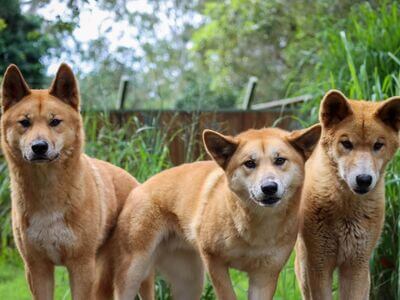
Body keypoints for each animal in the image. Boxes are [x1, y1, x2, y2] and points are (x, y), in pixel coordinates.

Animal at [0, 63, 153, 300]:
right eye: (25, 122)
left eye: (55, 121)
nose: (39, 147)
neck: (48, 192)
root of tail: (135, 182)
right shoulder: (37, 268)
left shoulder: (81, 266)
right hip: (103, 272)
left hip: (133, 271)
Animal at [114, 123, 320, 298]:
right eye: (249, 163)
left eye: (280, 160)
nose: (269, 187)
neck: (255, 229)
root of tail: (139, 187)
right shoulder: (214, 261)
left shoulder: (264, 275)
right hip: (133, 273)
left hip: (190, 281)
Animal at [294, 89, 400, 300]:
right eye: (346, 143)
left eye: (378, 145)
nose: (364, 179)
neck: (346, 208)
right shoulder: (319, 264)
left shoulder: (355, 265)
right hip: (303, 268)